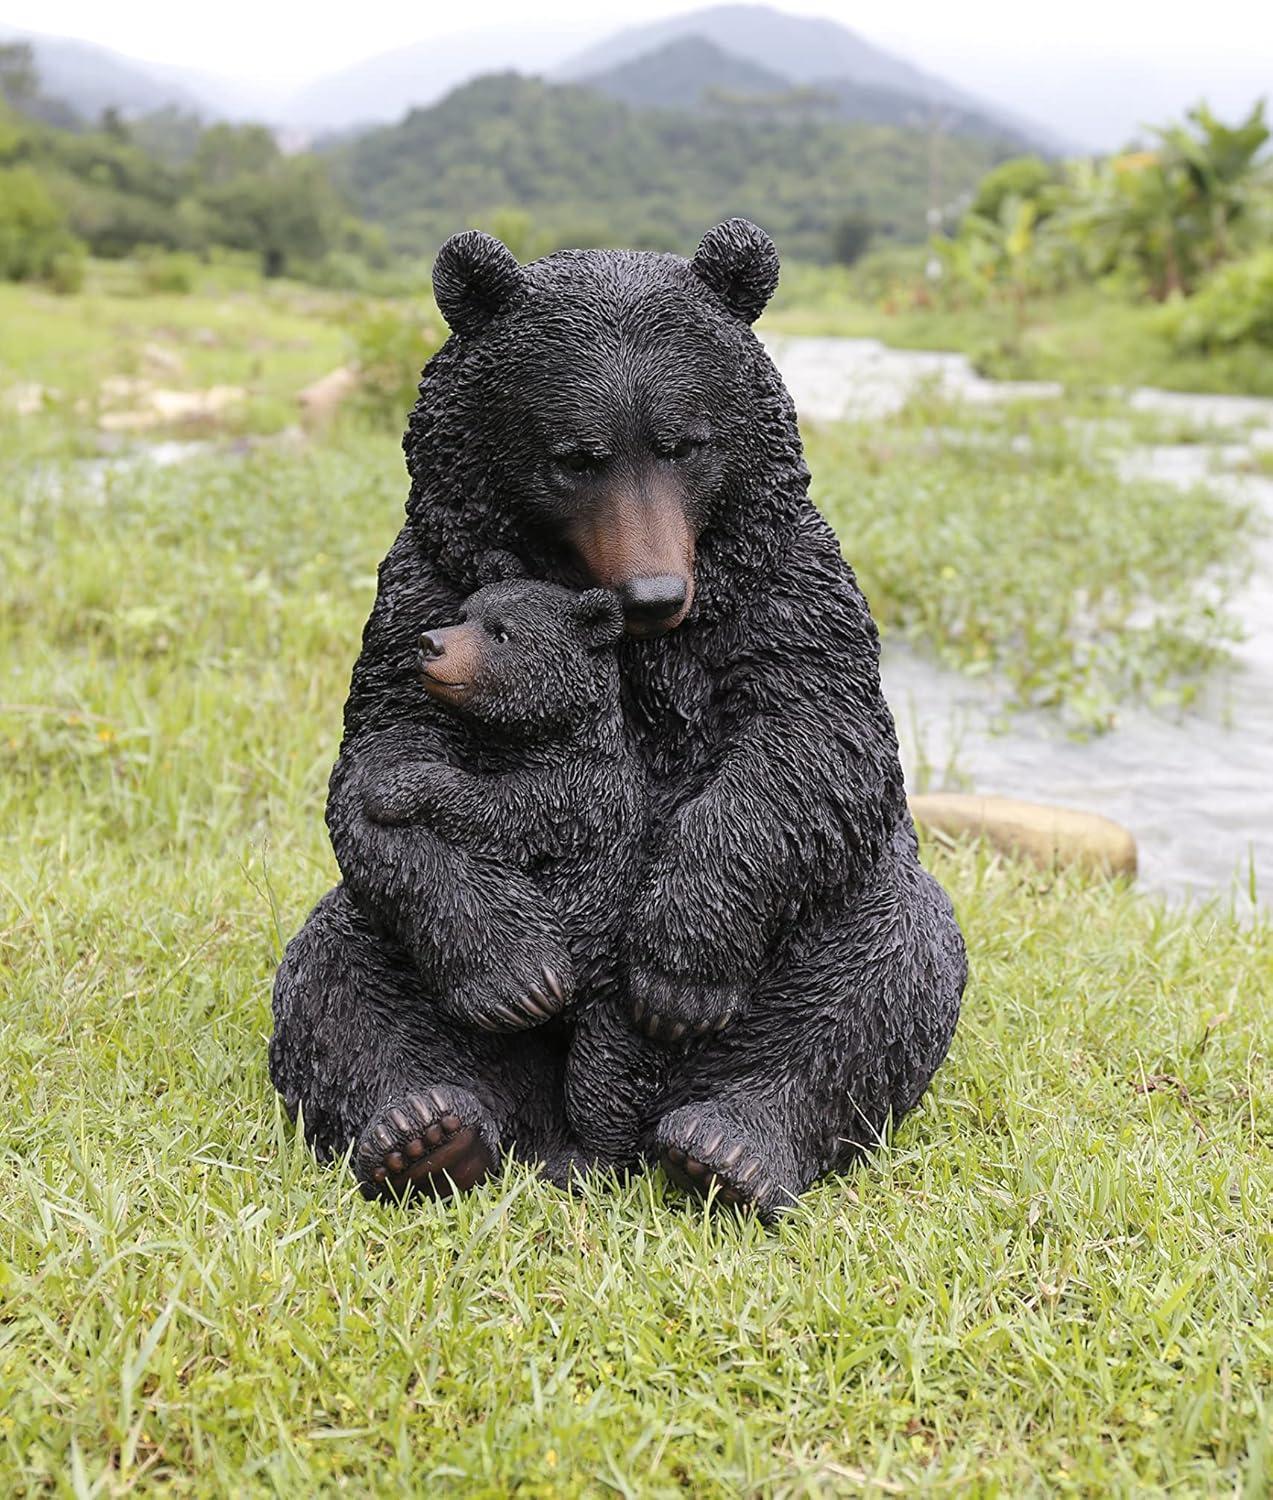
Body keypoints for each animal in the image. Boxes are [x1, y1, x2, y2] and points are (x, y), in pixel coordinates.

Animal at [270, 217, 967, 1220]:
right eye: (576, 456)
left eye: (685, 443)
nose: (655, 592)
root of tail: (584, 1136)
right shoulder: (423, 586)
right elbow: (386, 748)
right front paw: (514, 973)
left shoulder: (787, 590)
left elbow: (814, 741)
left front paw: (679, 971)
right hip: (398, 954)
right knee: (337, 978)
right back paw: (425, 1132)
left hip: (820, 933)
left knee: (885, 969)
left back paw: (728, 1148)